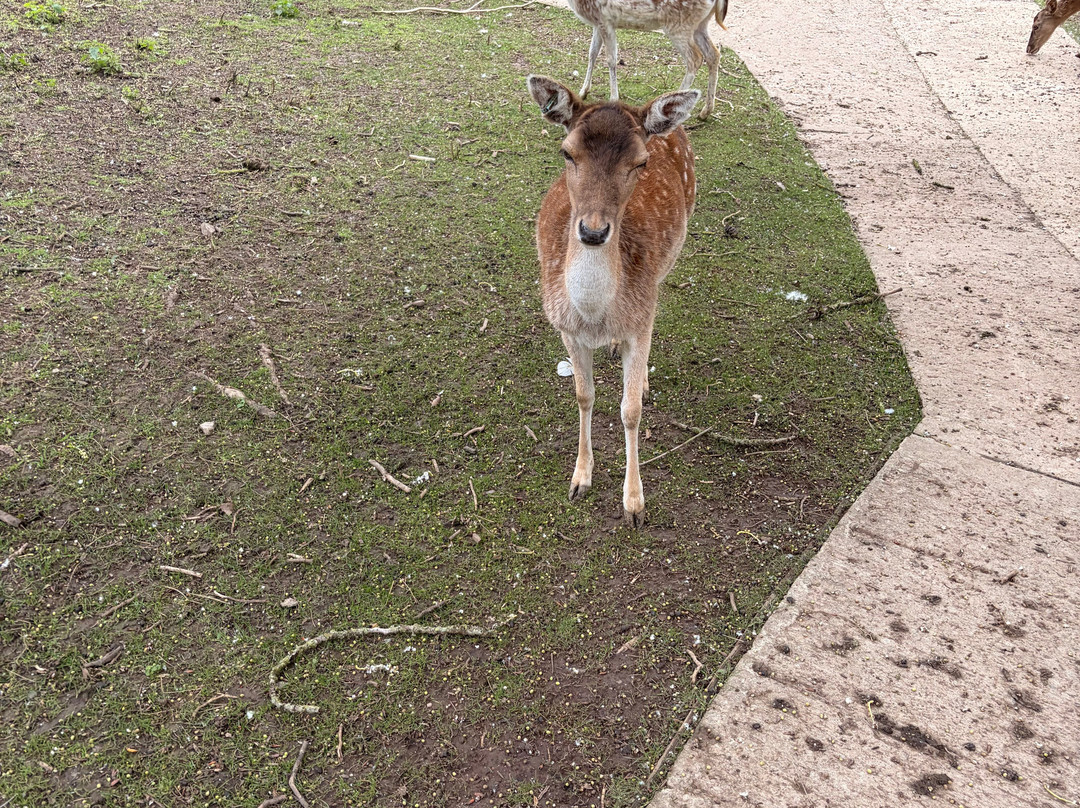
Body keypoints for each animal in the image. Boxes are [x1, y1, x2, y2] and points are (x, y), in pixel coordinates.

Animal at [527, 74, 700, 527]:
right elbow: (584, 396)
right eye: (567, 152)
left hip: (669, 263)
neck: (594, 316)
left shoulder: (640, 318)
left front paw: (634, 503)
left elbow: (630, 410)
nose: (592, 231)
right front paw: (580, 478)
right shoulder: (566, 330)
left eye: (640, 162)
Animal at [569, 0, 728, 120]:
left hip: (679, 24)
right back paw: (705, 112)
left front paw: (613, 99)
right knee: (713, 54)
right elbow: (592, 53)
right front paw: (583, 92)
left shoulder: (605, 20)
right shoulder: (597, 21)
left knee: (695, 58)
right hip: (700, 24)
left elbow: (611, 59)